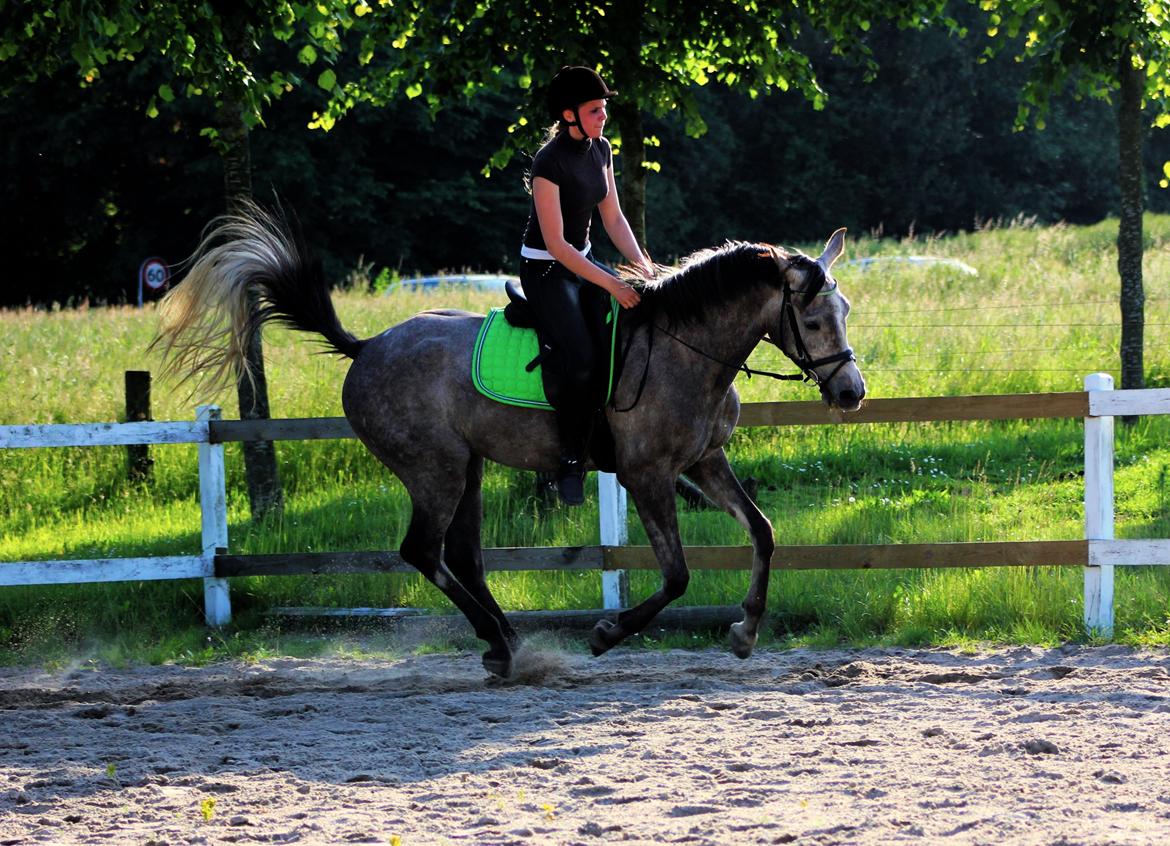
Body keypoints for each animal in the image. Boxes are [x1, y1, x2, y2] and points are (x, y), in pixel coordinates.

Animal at [153, 202, 861, 678]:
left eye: (846, 312)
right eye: (815, 320)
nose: (852, 392)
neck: (684, 350)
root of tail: (367, 347)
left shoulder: (705, 461)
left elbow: (762, 532)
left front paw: (745, 630)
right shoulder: (647, 474)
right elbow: (678, 575)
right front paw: (607, 634)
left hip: (466, 468)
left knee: (461, 557)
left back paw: (505, 643)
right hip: (434, 470)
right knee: (422, 551)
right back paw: (504, 643)